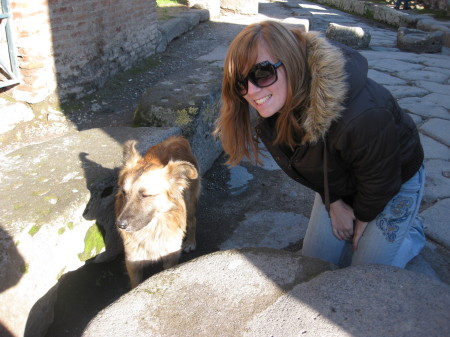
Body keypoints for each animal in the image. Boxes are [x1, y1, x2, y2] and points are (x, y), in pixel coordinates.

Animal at [115, 135, 200, 288]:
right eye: (124, 193)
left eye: (145, 195)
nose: (120, 225)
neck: (152, 230)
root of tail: (177, 138)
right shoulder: (133, 263)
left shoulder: (170, 257)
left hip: (190, 206)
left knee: (192, 222)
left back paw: (191, 242)